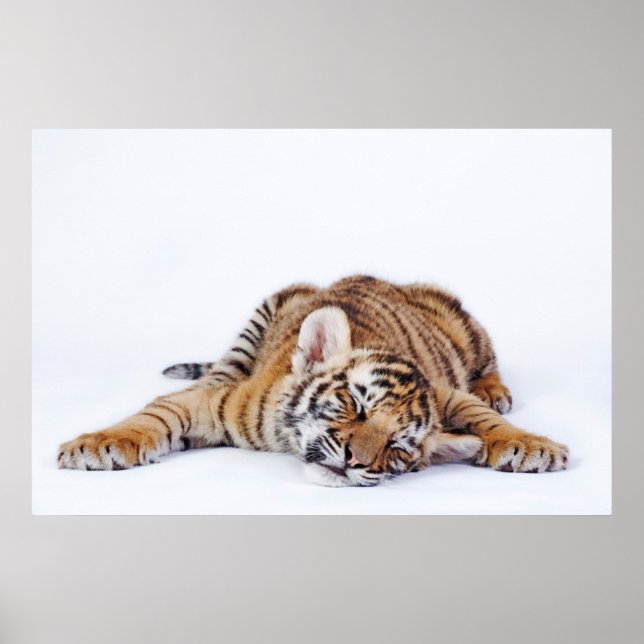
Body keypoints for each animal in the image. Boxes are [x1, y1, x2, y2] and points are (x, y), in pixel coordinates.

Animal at [57, 275, 569, 487]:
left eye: (398, 446)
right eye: (354, 405)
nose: (353, 461)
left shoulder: (447, 394)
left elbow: (479, 415)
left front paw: (532, 445)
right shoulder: (214, 405)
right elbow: (156, 414)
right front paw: (101, 445)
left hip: (466, 331)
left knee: (487, 367)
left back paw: (495, 390)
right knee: (217, 371)